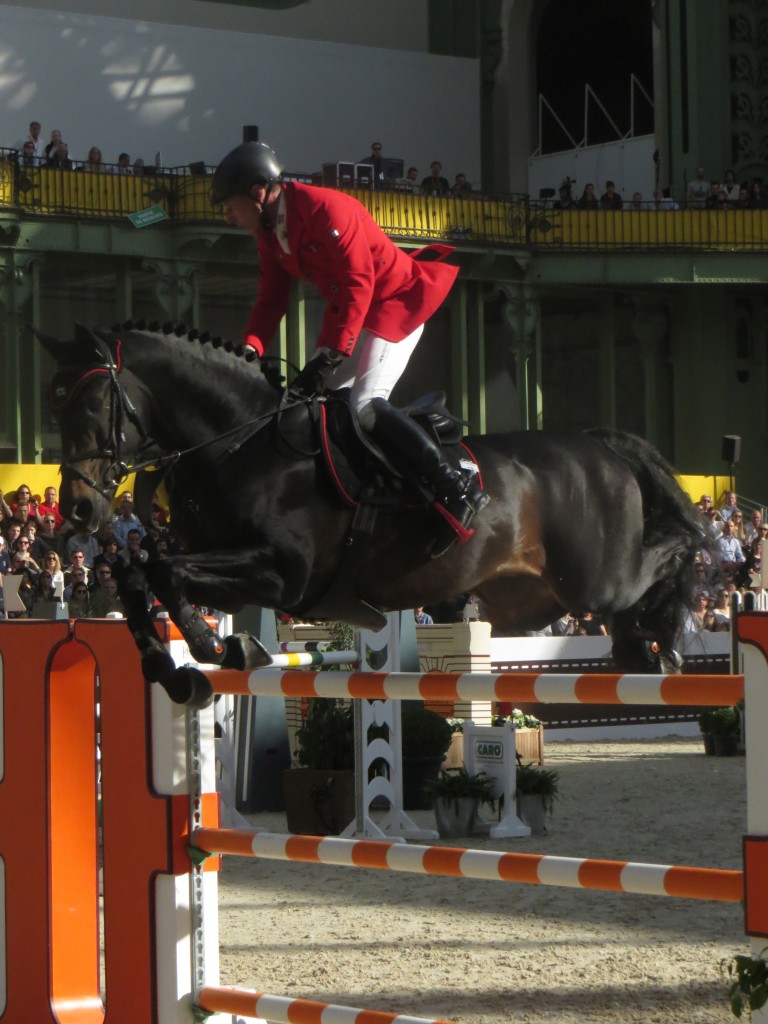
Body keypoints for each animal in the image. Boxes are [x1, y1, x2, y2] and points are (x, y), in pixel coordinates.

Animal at [37, 323, 708, 708]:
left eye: (92, 403)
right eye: (52, 403)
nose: (78, 507)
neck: (239, 440)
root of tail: (599, 444)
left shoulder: (283, 575)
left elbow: (165, 571)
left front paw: (210, 646)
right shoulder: (235, 573)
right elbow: (140, 572)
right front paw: (179, 667)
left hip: (595, 578)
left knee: (673, 549)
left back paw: (665, 638)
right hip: (534, 597)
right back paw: (641, 649)